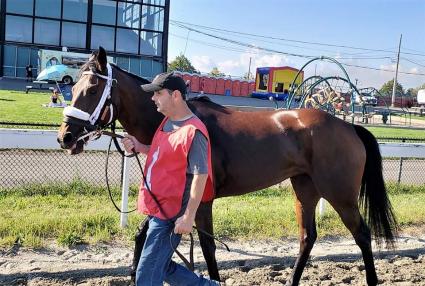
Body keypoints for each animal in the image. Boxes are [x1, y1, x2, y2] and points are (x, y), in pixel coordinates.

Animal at [57, 47, 398, 286]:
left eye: (91, 90)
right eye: (72, 89)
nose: (65, 137)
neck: (178, 122)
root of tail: (348, 126)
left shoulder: (201, 201)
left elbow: (208, 247)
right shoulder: (174, 203)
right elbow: (144, 235)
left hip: (339, 194)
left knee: (362, 234)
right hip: (304, 187)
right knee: (307, 236)